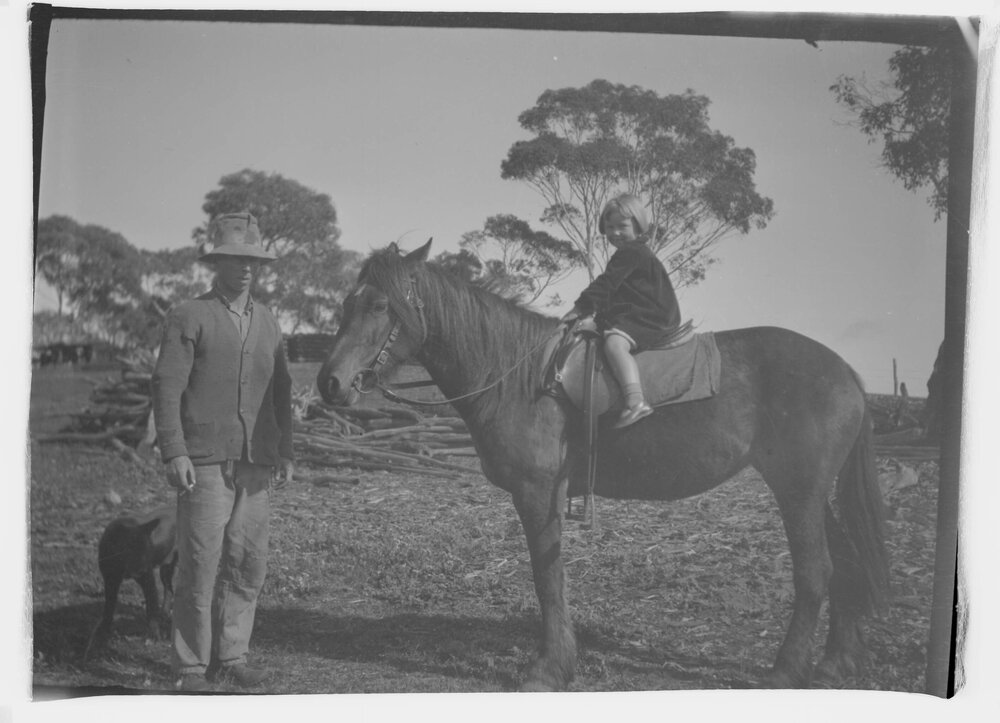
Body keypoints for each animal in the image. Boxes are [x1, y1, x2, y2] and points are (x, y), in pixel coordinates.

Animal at [316, 239, 889, 691]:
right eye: (346, 303)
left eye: (380, 305)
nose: (330, 383)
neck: (517, 374)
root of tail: (845, 370)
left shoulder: (538, 494)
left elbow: (547, 578)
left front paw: (548, 669)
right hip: (811, 492)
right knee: (845, 566)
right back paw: (835, 663)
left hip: (798, 490)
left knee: (815, 572)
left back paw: (786, 671)